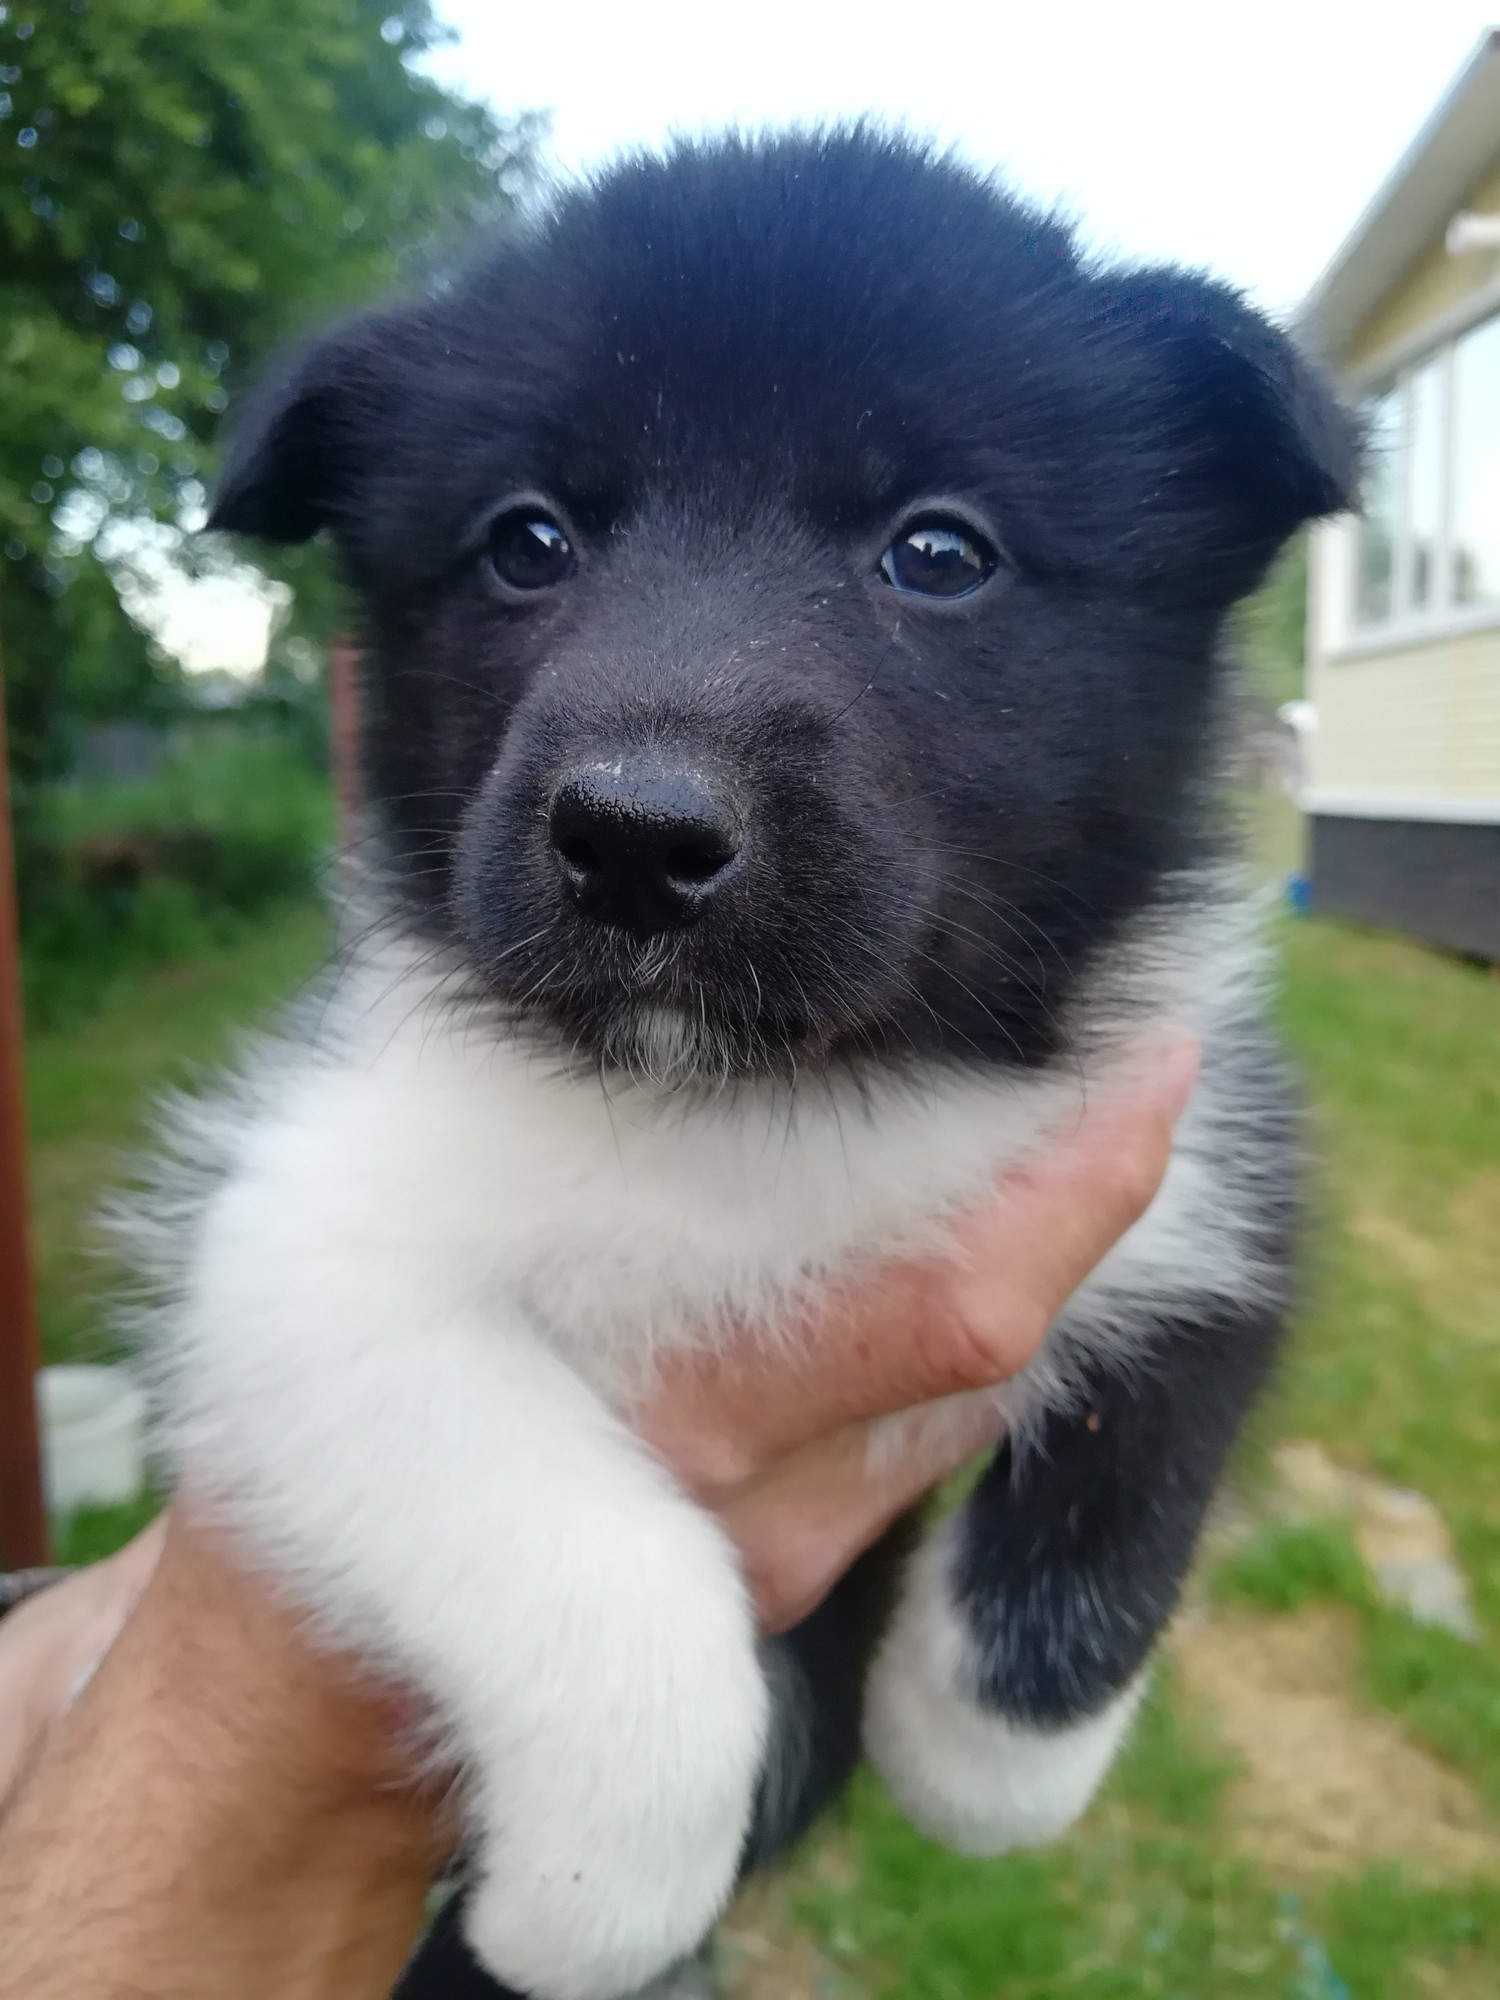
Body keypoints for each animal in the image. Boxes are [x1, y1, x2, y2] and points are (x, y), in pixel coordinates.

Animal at [138, 133, 1360, 1992]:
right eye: (527, 541)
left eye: (939, 550)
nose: (637, 839)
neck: (768, 1108)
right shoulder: (305, 1249)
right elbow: (596, 1561)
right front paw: (592, 1899)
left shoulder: (1202, 1161)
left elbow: (1140, 1461)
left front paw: (986, 1754)